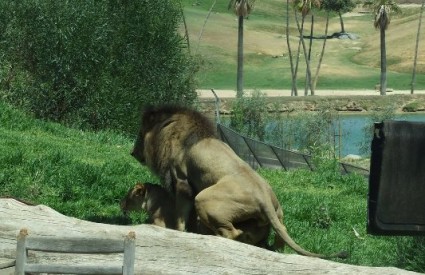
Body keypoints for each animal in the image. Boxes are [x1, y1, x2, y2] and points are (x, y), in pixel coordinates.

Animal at [131, 105, 346, 258]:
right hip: (277, 213)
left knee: (231, 234)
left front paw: (180, 231)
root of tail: (264, 199)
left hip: (203, 198)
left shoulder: (183, 183)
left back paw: (212, 237)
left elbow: (180, 217)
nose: (132, 152)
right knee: (281, 231)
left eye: (140, 134)